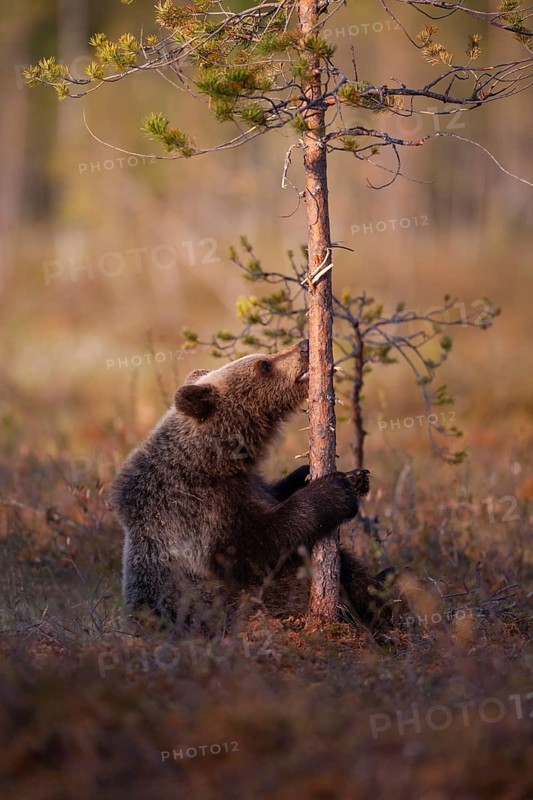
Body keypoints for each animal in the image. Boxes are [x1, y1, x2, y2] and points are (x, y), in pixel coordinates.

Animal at [112, 339, 392, 635]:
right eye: (264, 365)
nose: (304, 345)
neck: (215, 460)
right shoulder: (197, 509)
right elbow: (255, 548)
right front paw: (332, 491)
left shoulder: (248, 485)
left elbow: (276, 494)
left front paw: (351, 476)